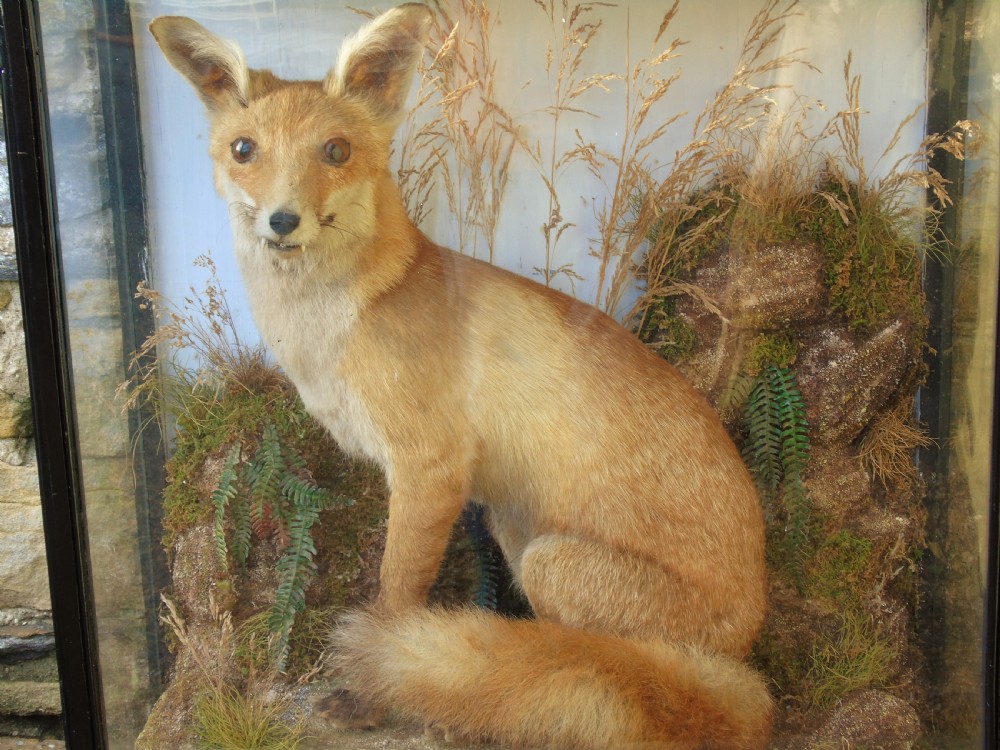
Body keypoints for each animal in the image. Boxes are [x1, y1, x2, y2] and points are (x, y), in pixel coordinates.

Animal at [150, 5, 772, 749]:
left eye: (336, 152)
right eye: (244, 150)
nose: (282, 220)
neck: (335, 330)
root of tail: (749, 642)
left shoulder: (431, 466)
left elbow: (395, 597)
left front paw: (374, 692)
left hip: (552, 562)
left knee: (597, 659)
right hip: (515, 526)